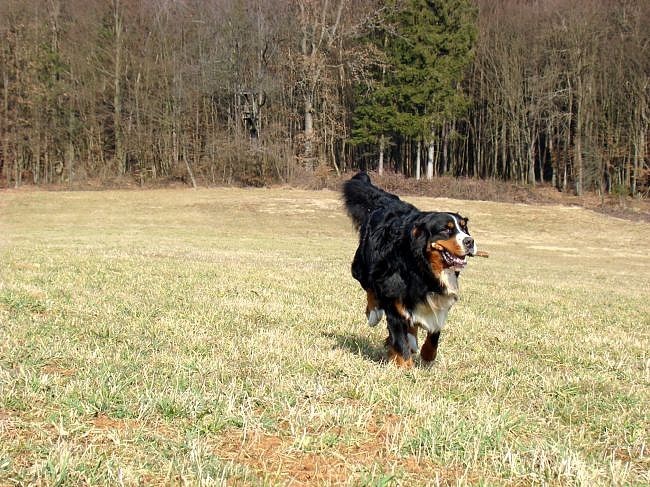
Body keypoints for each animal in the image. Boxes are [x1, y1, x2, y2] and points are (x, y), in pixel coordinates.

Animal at [340, 173, 476, 368]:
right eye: (446, 229)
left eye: (464, 228)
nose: (470, 241)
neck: (422, 268)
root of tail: (387, 202)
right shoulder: (393, 297)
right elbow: (399, 340)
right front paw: (405, 367)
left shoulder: (440, 298)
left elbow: (434, 332)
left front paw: (427, 354)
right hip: (362, 266)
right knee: (369, 288)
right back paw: (374, 314)